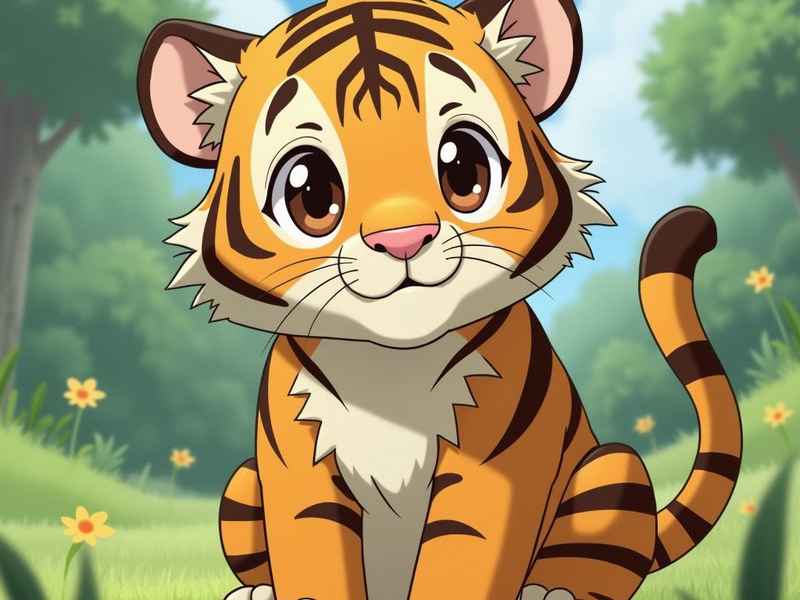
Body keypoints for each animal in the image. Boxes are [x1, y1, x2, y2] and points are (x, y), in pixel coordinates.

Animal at [136, 0, 742, 598]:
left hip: (611, 470)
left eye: (463, 166)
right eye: (310, 190)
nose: (402, 238)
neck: (391, 366)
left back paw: (550, 592)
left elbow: (465, 549)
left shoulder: (494, 464)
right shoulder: (298, 463)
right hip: (242, 483)